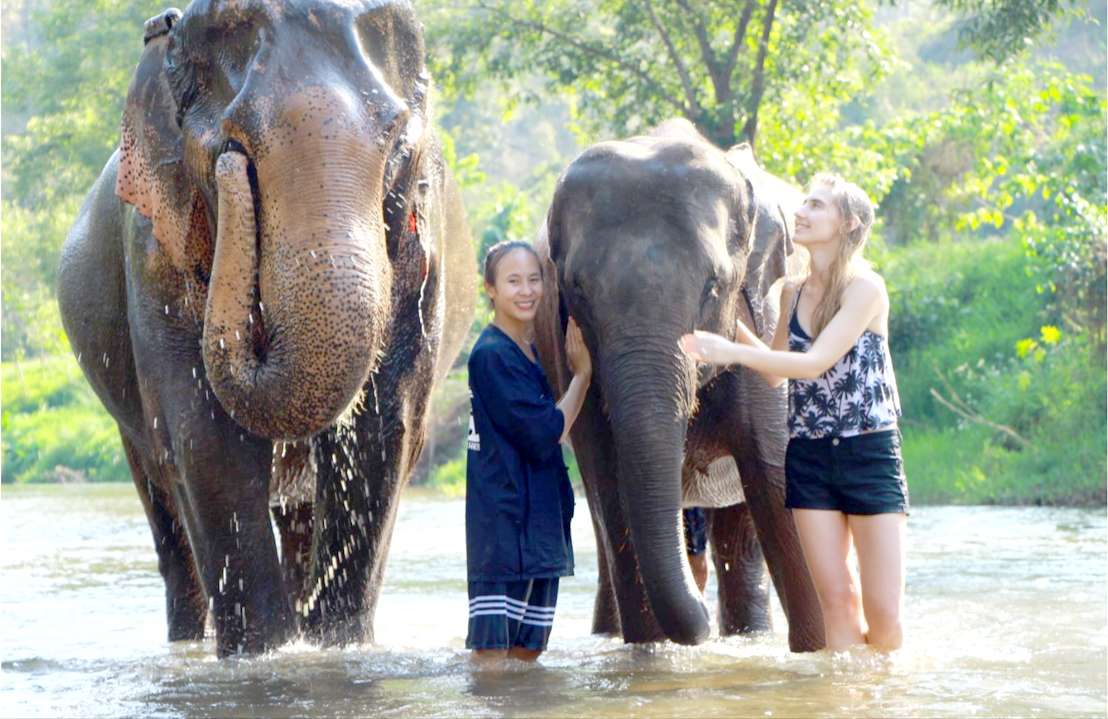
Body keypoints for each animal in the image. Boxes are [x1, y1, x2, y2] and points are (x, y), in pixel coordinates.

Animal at [57, 1, 475, 657]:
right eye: (233, 147)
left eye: (398, 148)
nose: (233, 170)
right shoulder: (152, 250)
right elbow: (206, 439)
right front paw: (264, 654)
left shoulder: (421, 253)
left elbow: (386, 429)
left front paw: (337, 650)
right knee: (163, 504)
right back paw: (190, 644)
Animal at [532, 119, 823, 650]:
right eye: (577, 289)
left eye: (714, 285)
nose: (699, 626)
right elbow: (612, 491)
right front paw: (650, 655)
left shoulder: (766, 320)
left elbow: (776, 479)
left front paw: (825, 651)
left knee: (740, 533)